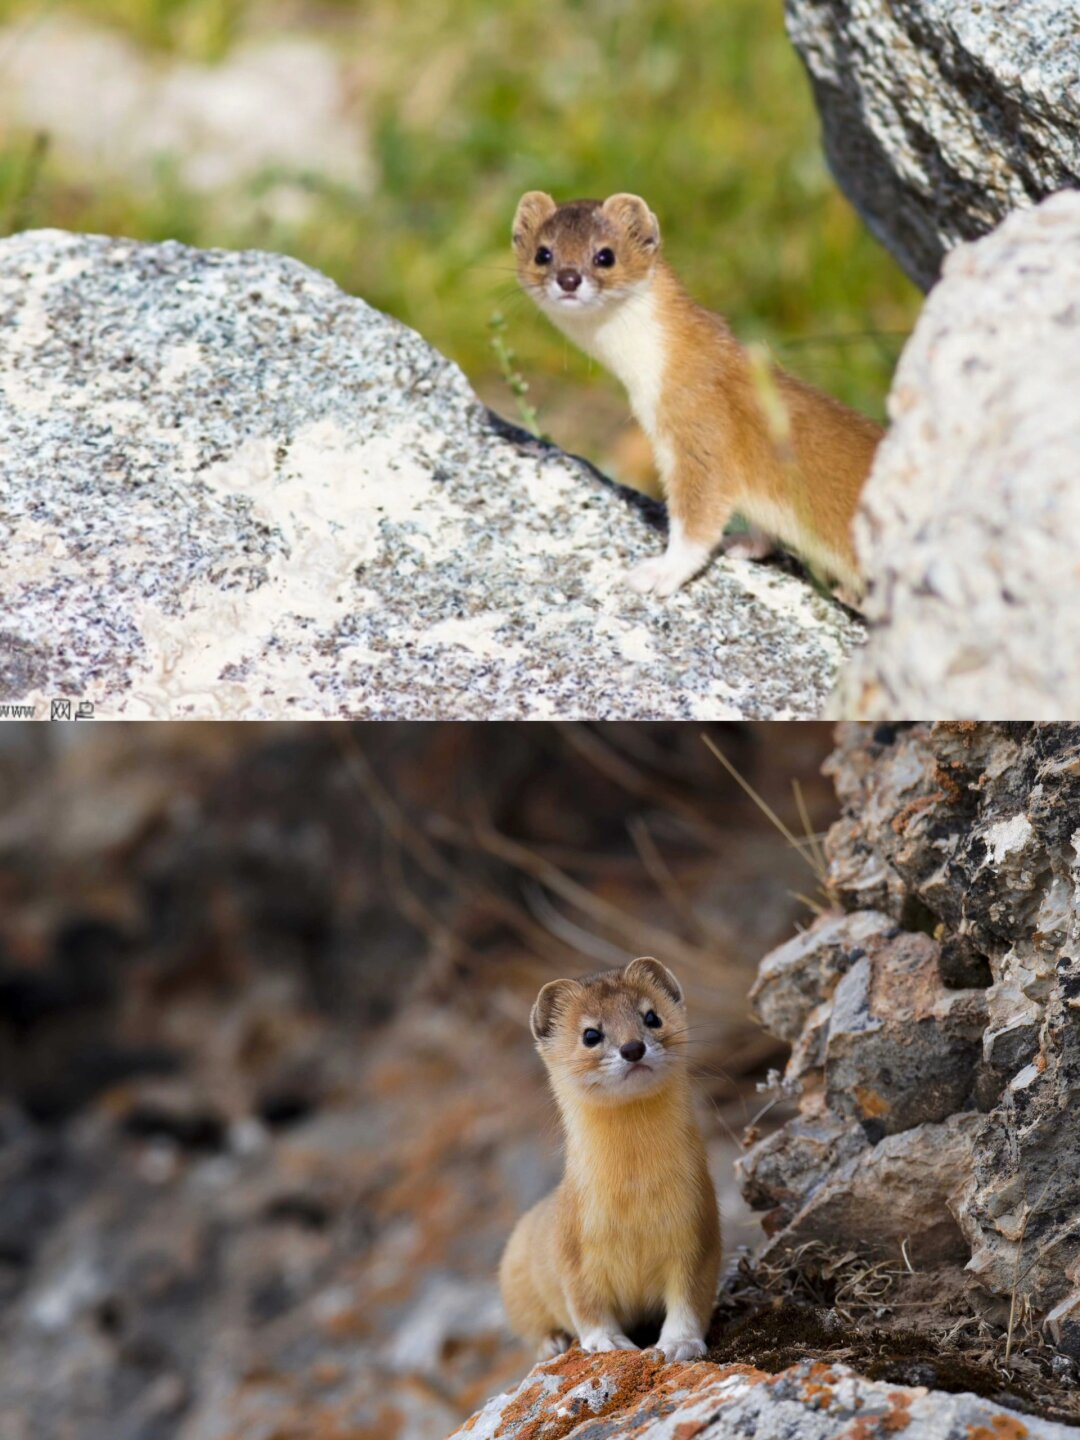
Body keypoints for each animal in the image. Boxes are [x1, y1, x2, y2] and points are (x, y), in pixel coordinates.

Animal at [501, 961, 722, 1365]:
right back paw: (552, 1342)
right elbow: (585, 1302)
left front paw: (678, 1343)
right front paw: (609, 1342)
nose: (632, 1047)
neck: (634, 1197)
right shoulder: (573, 1245)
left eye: (651, 1016)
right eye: (591, 1034)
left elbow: (691, 1298)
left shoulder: (698, 1229)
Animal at [512, 190, 881, 596]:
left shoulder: (703, 431)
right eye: (543, 253)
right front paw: (745, 543)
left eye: (605, 255)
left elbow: (698, 523)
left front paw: (659, 573)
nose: (568, 278)